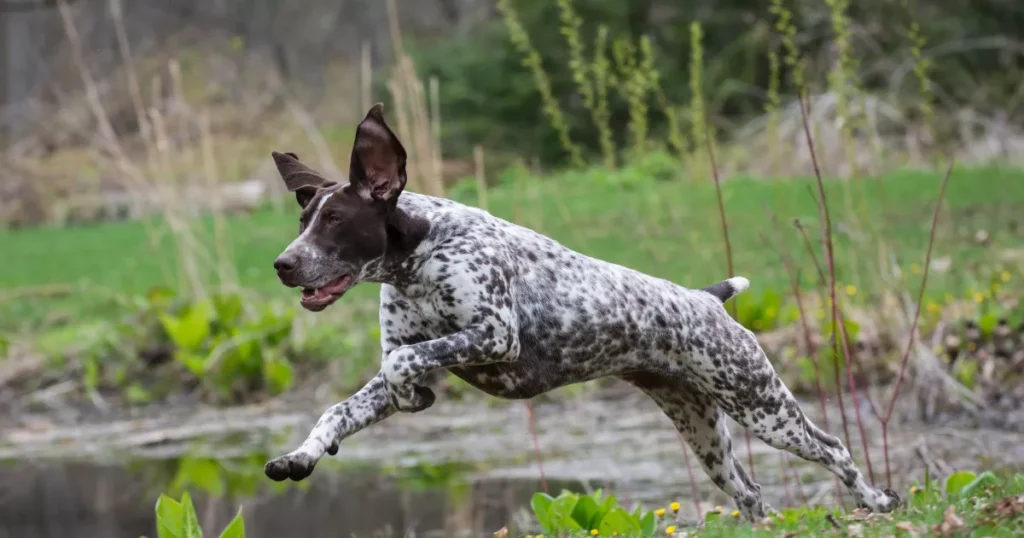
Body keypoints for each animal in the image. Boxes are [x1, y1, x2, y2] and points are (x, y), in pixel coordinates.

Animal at [262, 104, 897, 520]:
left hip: (762, 407)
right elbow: (338, 410)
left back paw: (875, 501)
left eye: (336, 221)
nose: (283, 263)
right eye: (303, 221)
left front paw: (412, 395)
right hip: (704, 431)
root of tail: (705, 298)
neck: (419, 256)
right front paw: (303, 455)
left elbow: (406, 366)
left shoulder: (495, 335)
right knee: (751, 494)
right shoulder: (399, 361)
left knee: (835, 450)